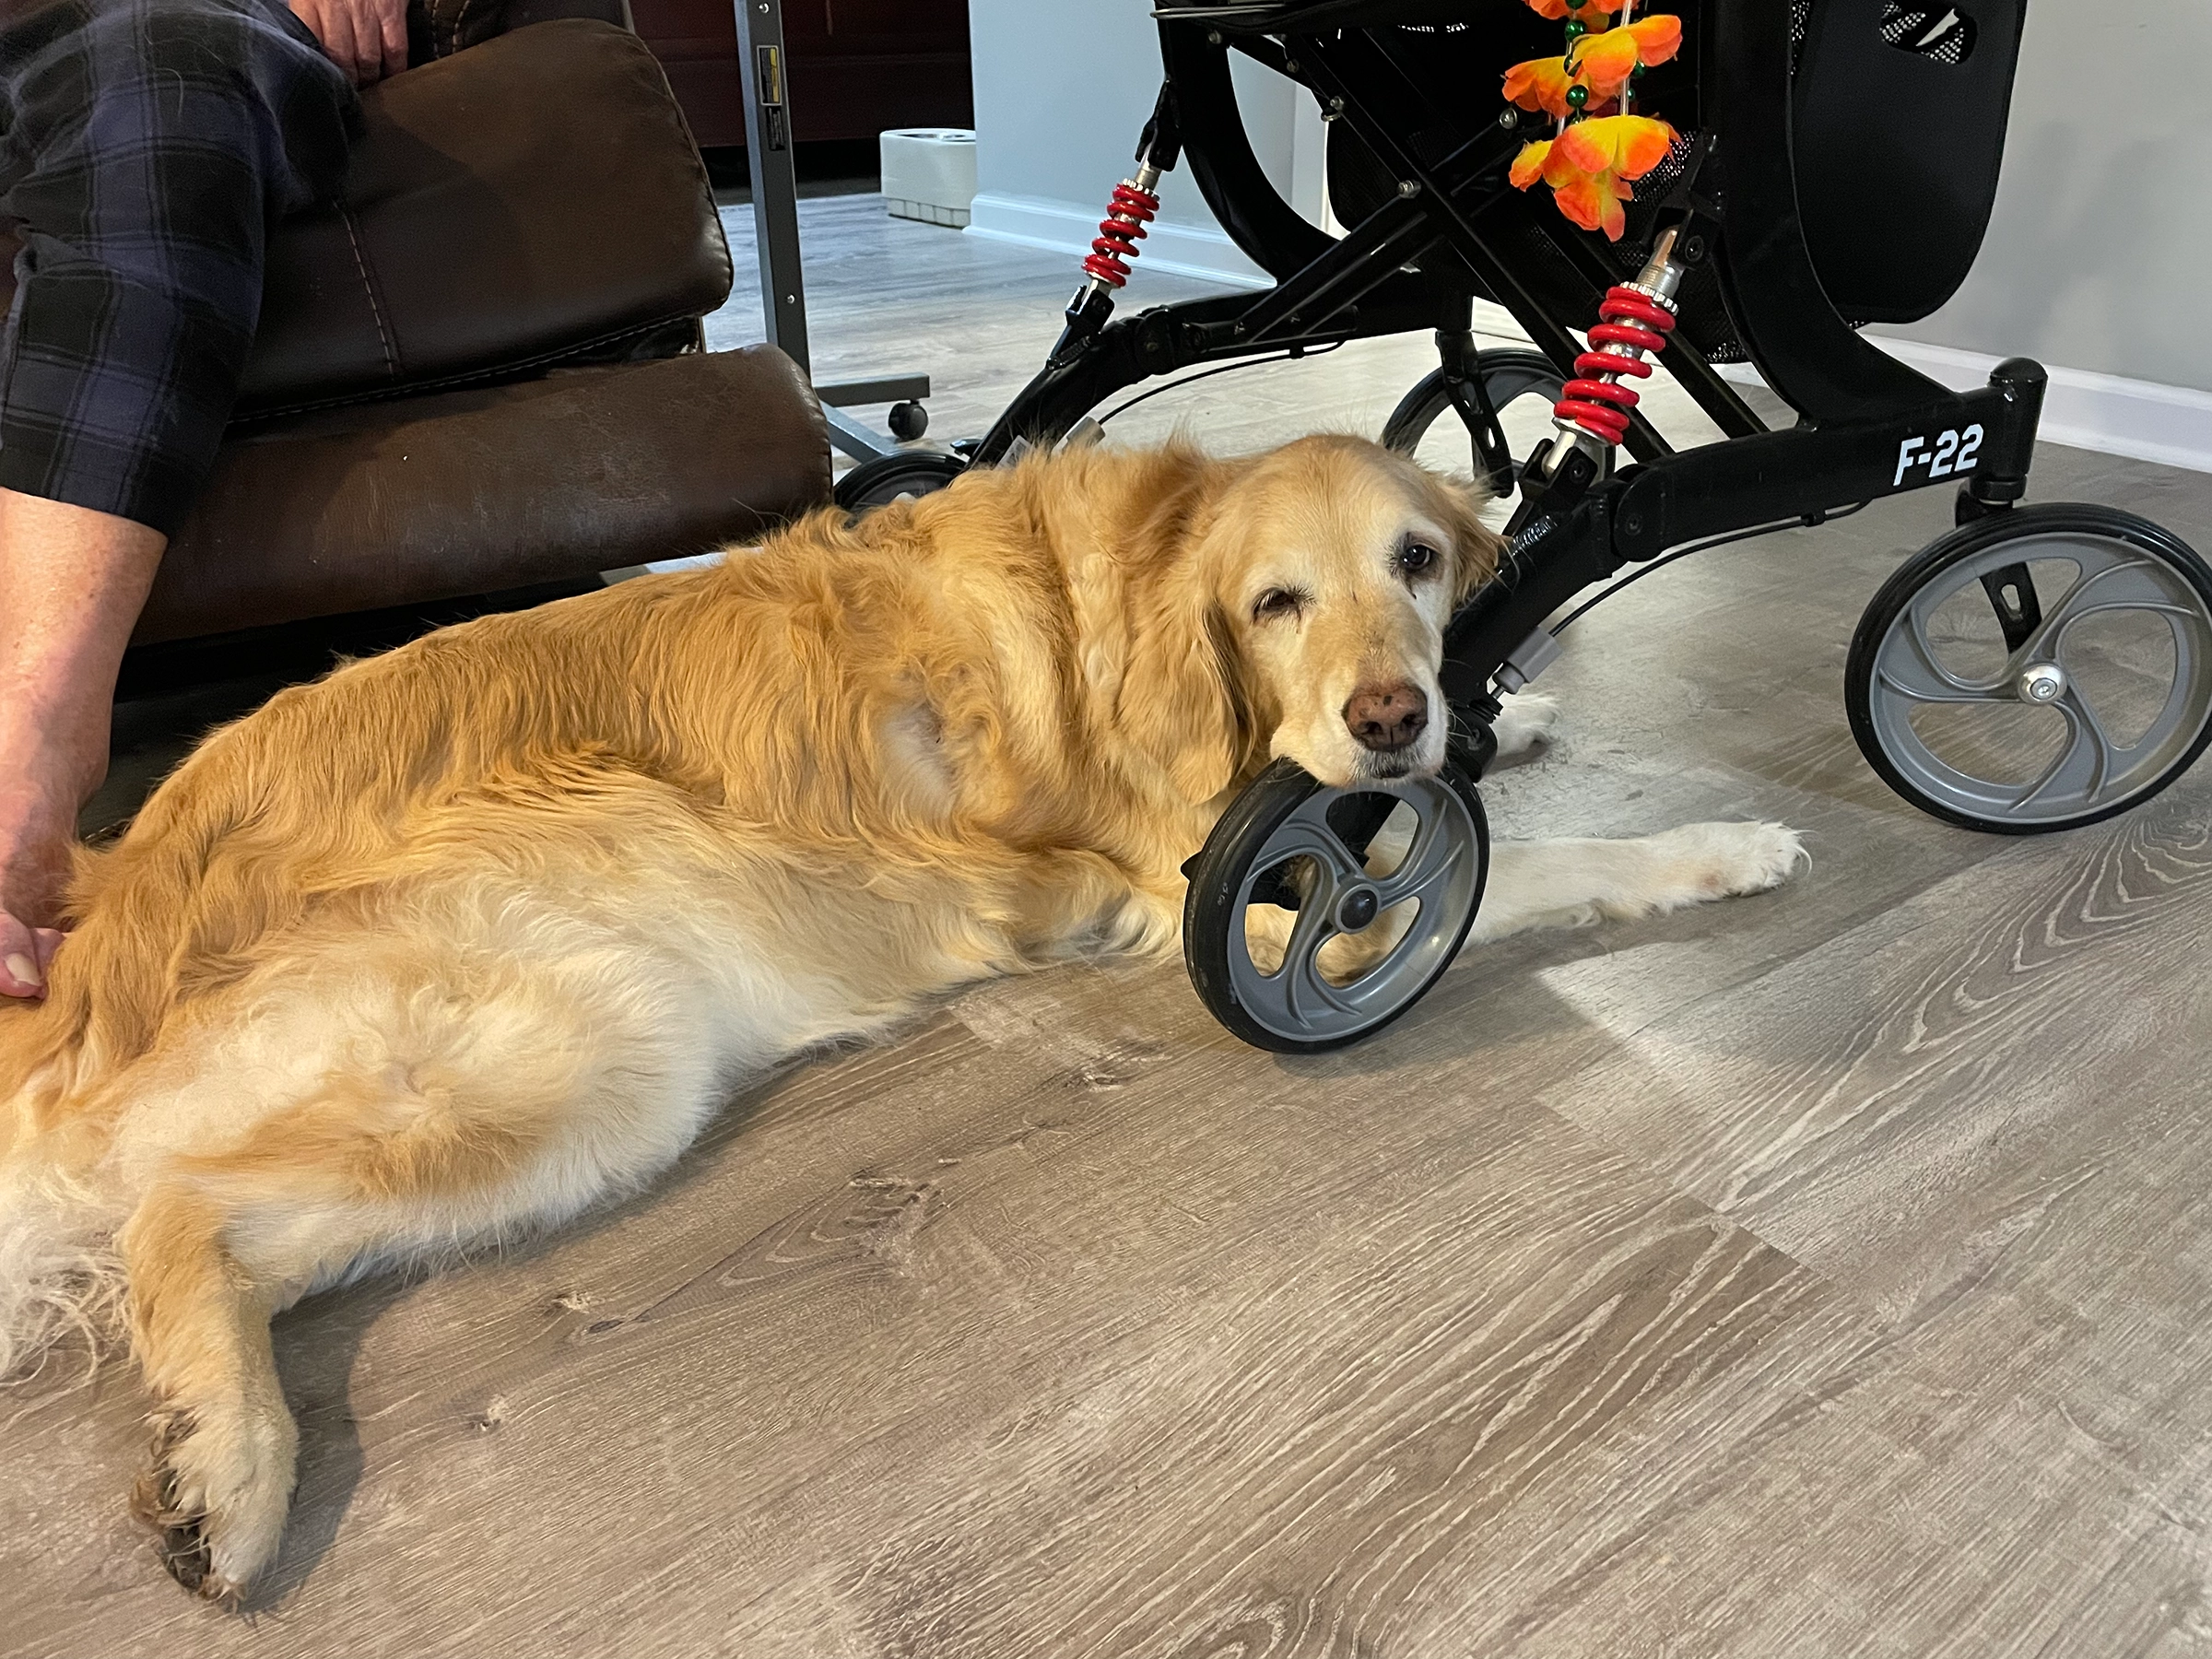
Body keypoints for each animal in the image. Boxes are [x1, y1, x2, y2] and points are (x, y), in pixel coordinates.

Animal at [0, 435, 1795, 1601]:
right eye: (1277, 601)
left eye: (1414, 563)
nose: (1389, 714)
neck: (1134, 601)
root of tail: (108, 917)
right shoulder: (1215, 890)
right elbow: (1512, 870)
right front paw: (1713, 845)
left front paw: (1520, 713)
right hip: (596, 1038)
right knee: (177, 1208)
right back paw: (237, 1482)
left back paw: (206, 1462)